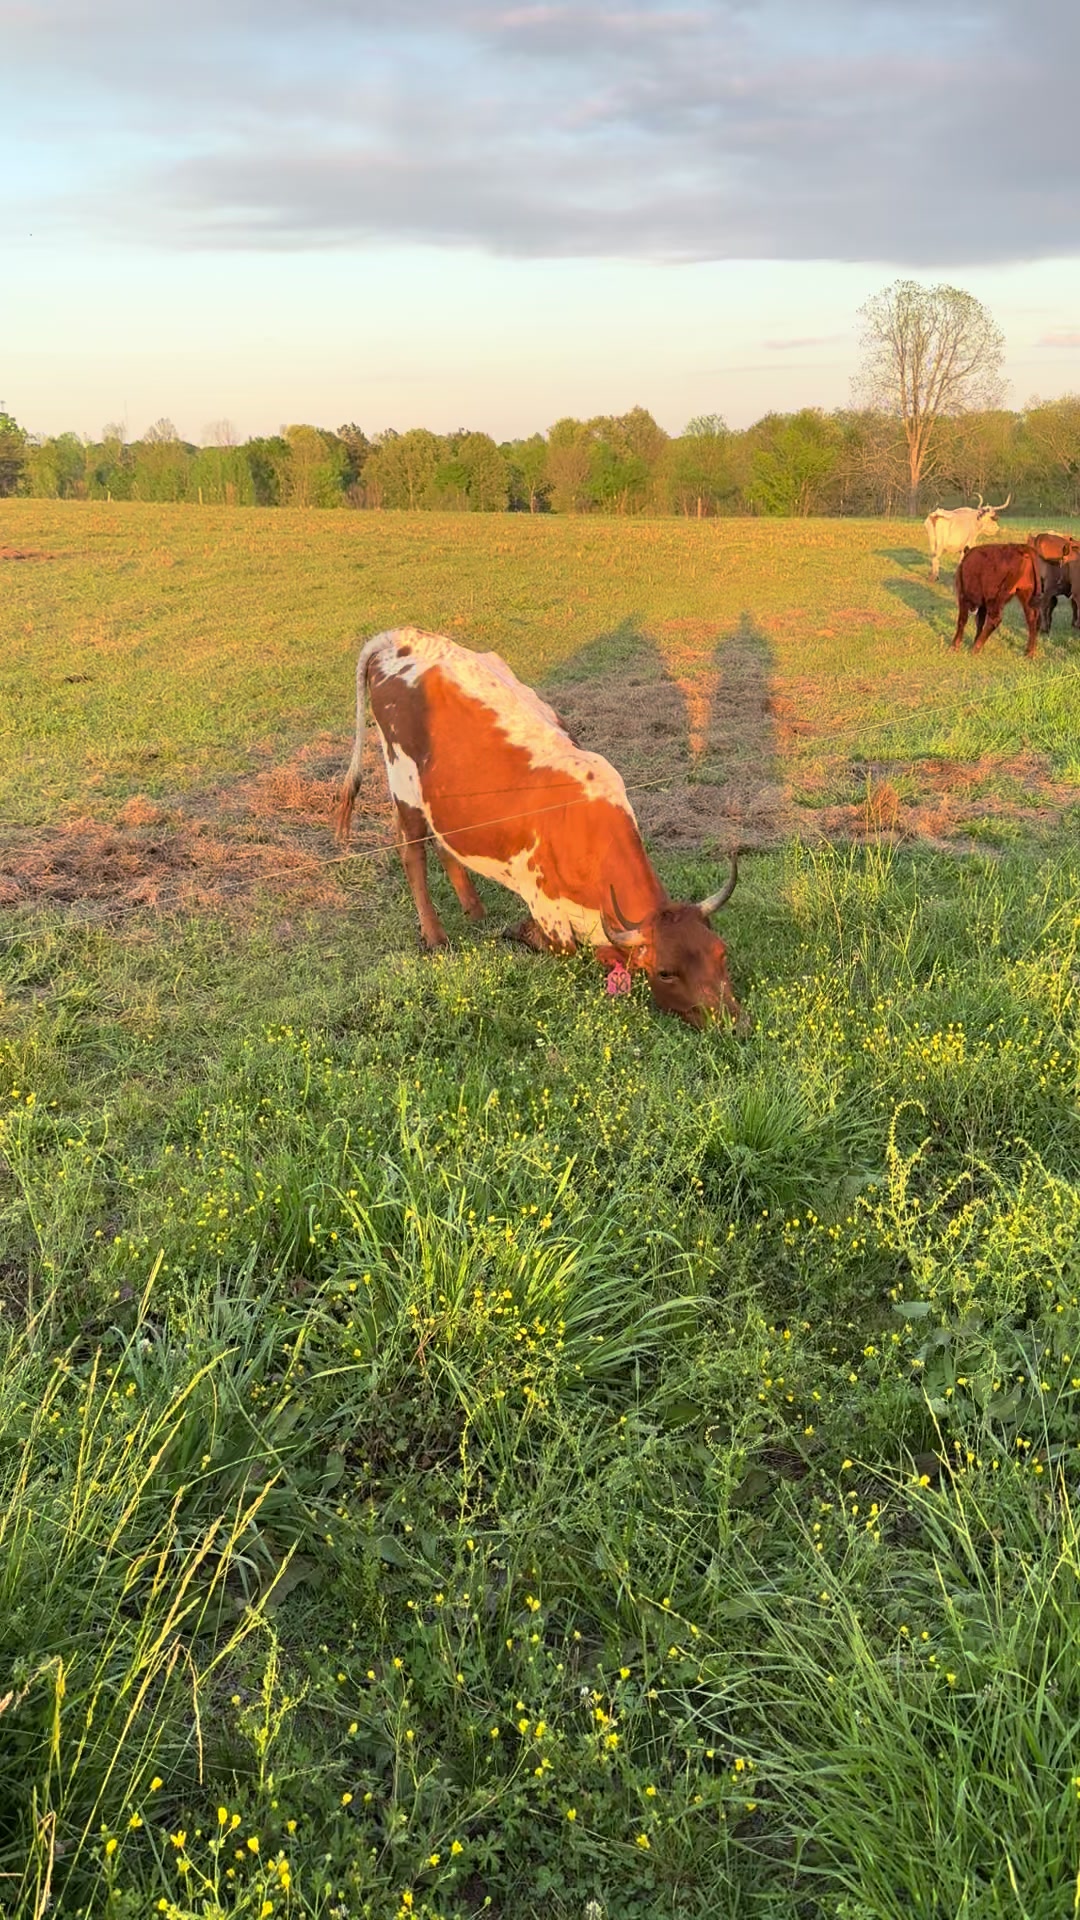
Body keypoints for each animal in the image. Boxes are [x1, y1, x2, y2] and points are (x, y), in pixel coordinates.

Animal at [336, 627, 743, 1028]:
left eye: (721, 952)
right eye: (666, 973)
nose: (733, 1022)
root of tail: (400, 636)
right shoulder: (542, 902)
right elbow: (565, 948)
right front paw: (520, 932)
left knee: (443, 843)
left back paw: (474, 909)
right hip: (404, 784)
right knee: (413, 854)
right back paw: (435, 936)